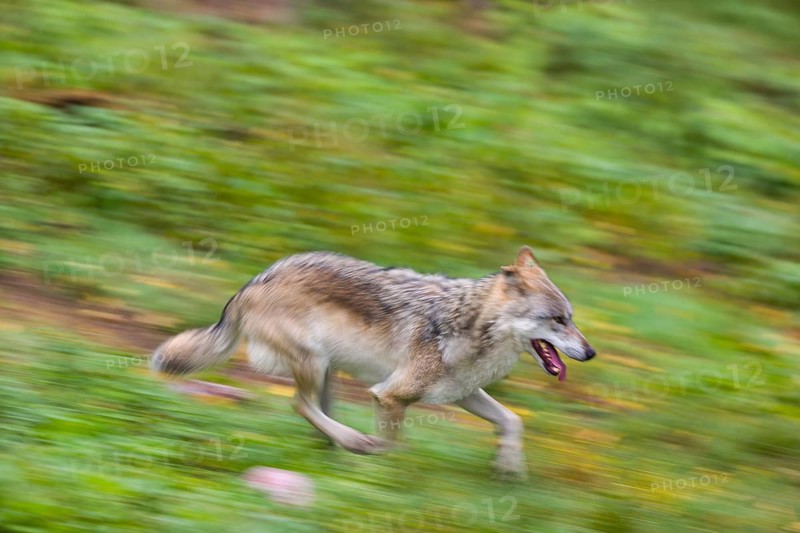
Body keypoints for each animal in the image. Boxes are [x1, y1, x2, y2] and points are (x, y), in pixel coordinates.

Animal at [151, 246, 595, 478]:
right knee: (298, 404)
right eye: (558, 320)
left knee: (313, 412)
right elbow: (394, 445)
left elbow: (513, 421)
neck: (468, 325)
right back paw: (352, 442)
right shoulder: (390, 395)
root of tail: (254, 281)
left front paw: (509, 469)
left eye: (571, 318)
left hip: (326, 371)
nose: (590, 353)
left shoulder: (463, 394)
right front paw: (383, 476)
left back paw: (334, 448)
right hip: (314, 363)